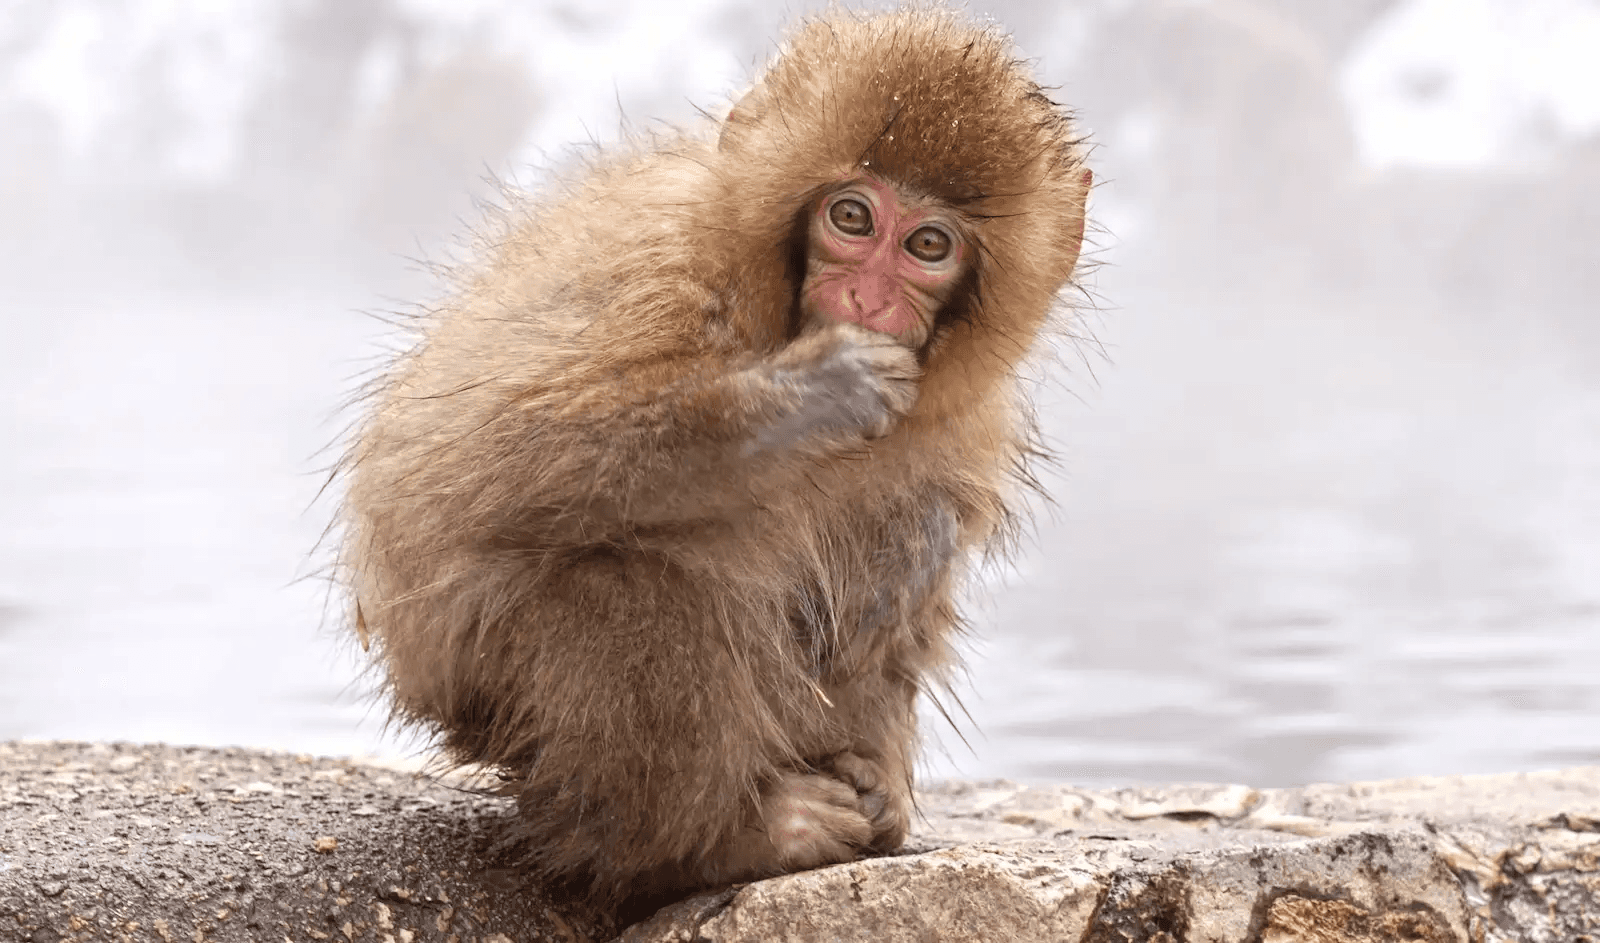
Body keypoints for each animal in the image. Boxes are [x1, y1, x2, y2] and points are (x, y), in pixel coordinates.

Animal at [339, 8, 1091, 906]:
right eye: (851, 219)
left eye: (928, 244)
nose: (868, 298)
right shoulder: (660, 269)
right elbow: (485, 455)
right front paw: (815, 396)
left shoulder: (973, 417)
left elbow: (915, 564)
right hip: (489, 692)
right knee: (625, 580)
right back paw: (709, 844)